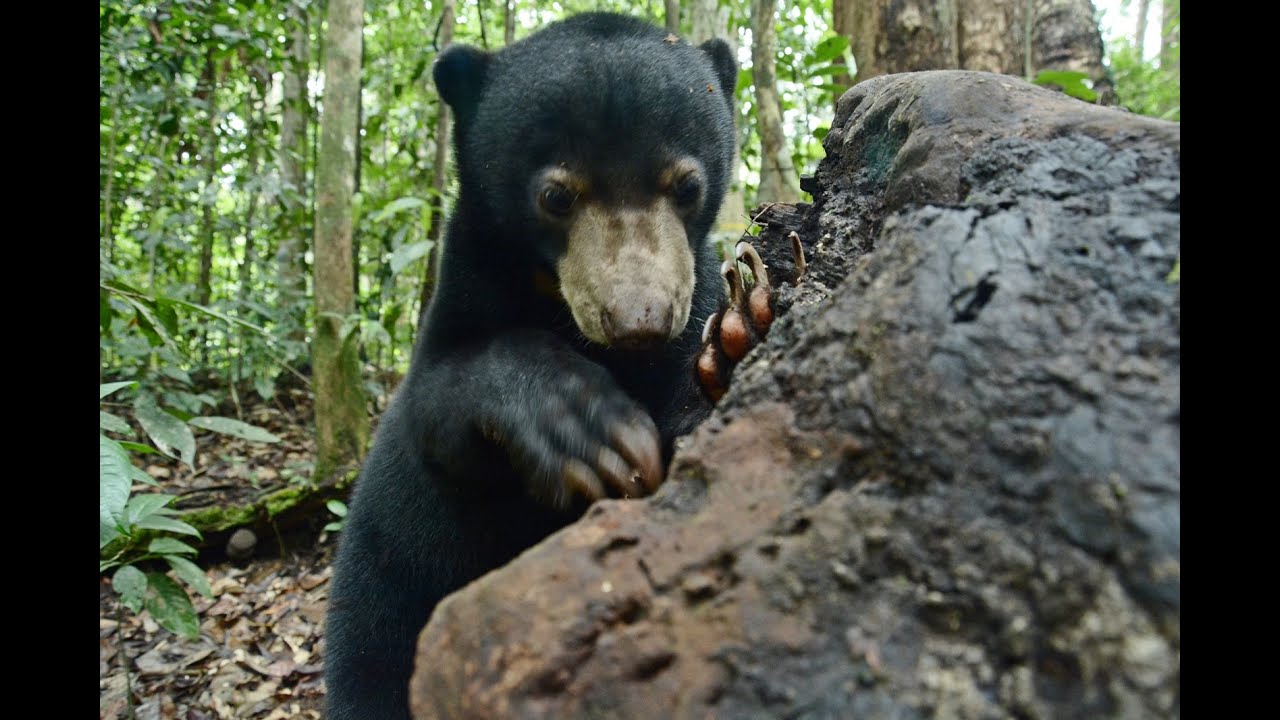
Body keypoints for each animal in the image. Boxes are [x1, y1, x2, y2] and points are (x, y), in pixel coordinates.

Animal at [324, 12, 765, 719]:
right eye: (556, 195)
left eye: (687, 185)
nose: (638, 319)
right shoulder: (464, 297)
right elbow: (442, 403)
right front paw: (593, 435)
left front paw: (735, 333)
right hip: (380, 603)